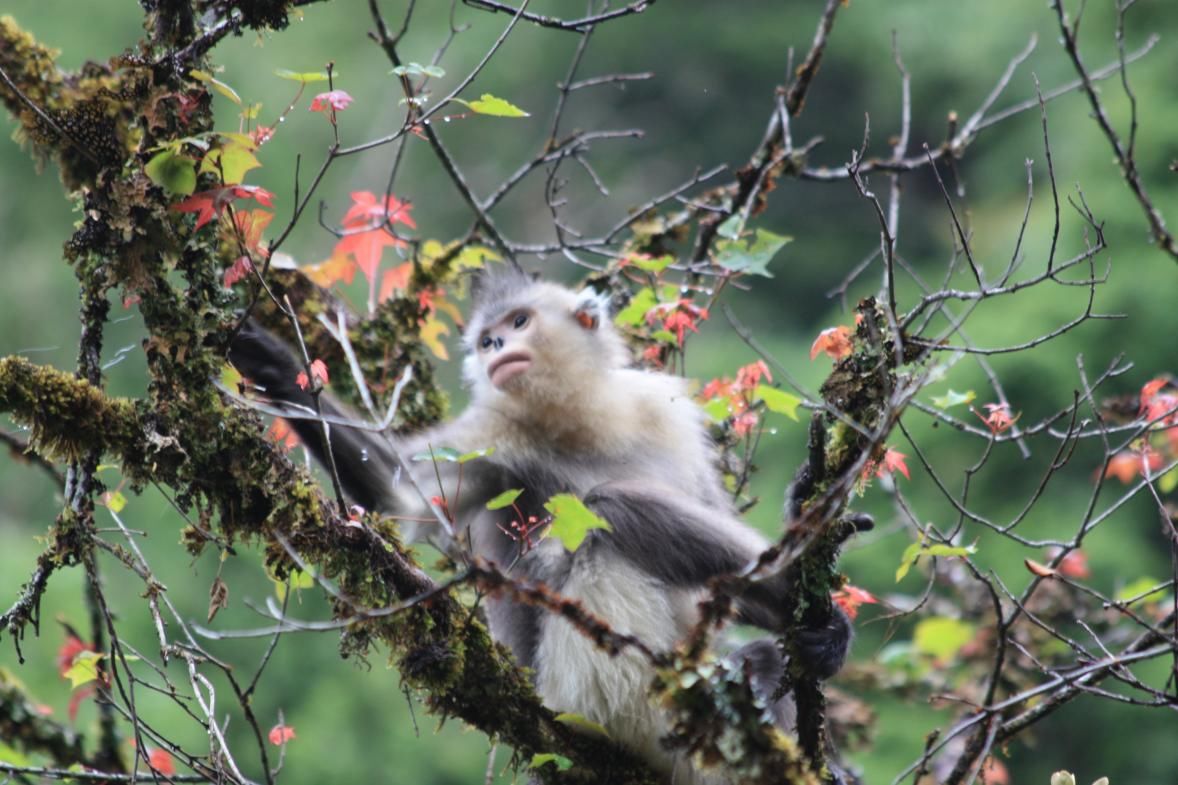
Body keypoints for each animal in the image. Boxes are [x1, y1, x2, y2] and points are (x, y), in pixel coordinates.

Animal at [227, 266, 857, 777]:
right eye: (487, 339)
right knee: (610, 509)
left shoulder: (659, 411)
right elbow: (399, 495)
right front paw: (270, 364)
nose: (498, 347)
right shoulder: (493, 434)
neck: (581, 422)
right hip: (599, 695)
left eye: (519, 321)